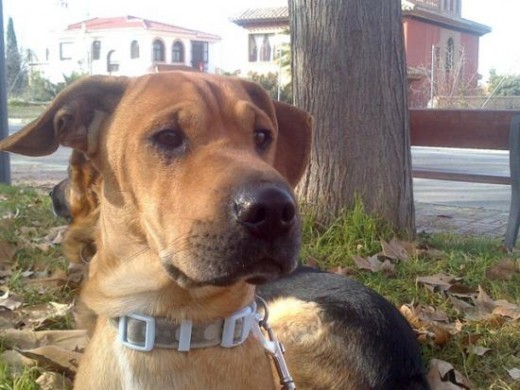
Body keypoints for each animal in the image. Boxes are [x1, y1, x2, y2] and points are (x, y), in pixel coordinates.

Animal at [2, 71, 428, 388]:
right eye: (168, 136)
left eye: (262, 136)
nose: (273, 210)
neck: (171, 324)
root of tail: (406, 370)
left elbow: (50, 341)